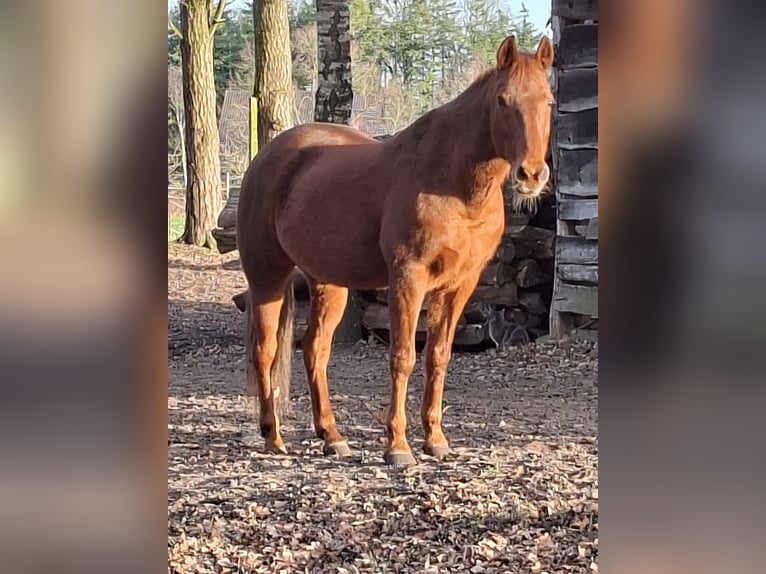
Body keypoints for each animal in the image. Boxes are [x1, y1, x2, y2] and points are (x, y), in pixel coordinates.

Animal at [236, 35, 555, 466]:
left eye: (549, 101)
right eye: (503, 100)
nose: (531, 174)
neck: (450, 182)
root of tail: (267, 156)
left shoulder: (459, 285)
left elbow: (438, 356)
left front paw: (435, 439)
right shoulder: (408, 276)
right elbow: (403, 356)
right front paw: (398, 446)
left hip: (327, 283)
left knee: (314, 349)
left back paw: (332, 436)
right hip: (267, 276)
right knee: (265, 351)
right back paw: (273, 436)